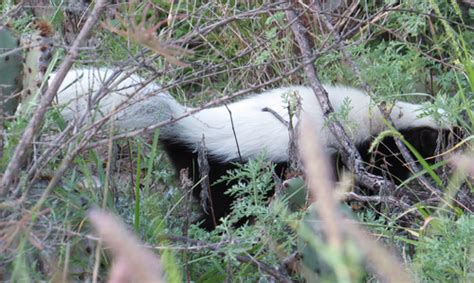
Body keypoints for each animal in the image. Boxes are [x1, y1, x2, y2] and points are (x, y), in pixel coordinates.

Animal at [51, 69, 456, 231]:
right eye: (449, 137)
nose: (463, 137)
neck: (389, 118)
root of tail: (184, 121)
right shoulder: (356, 154)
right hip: (228, 180)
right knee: (220, 214)